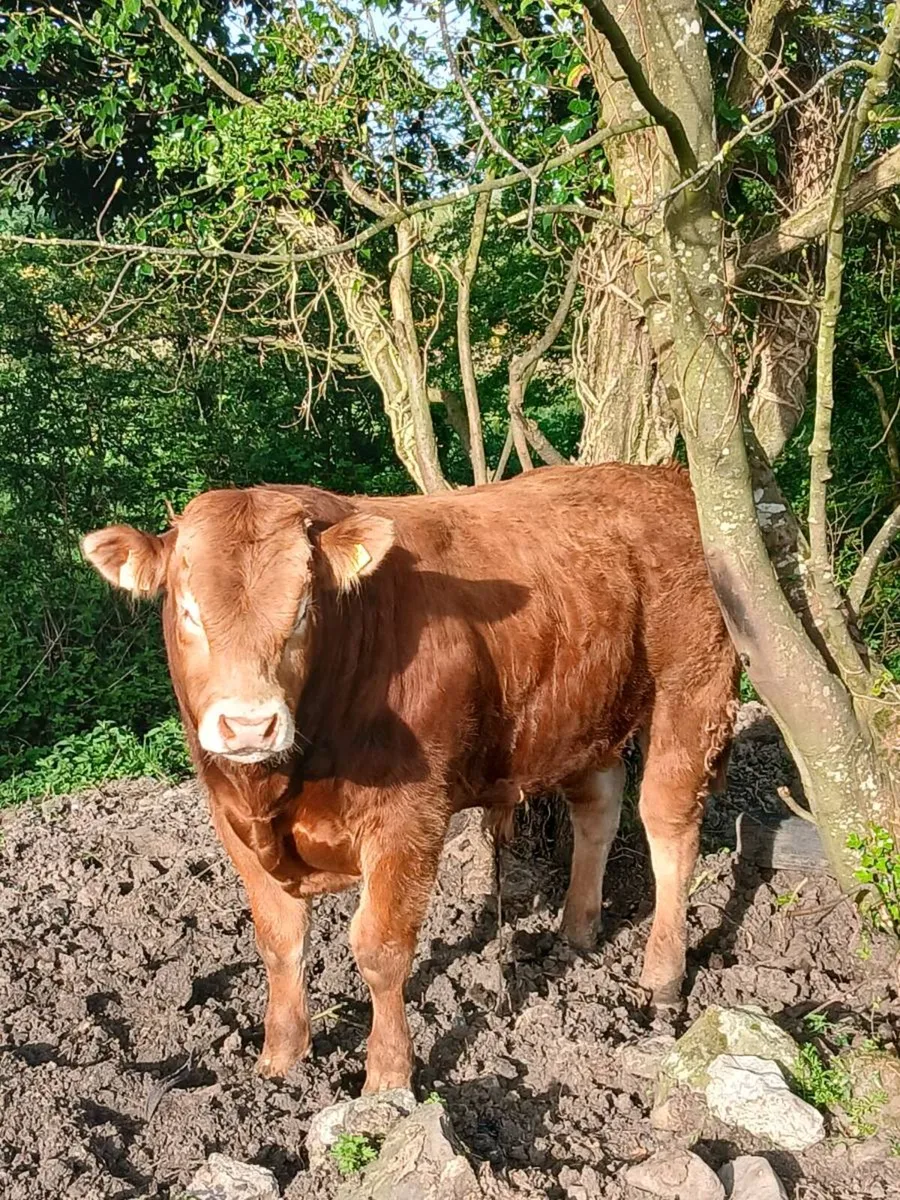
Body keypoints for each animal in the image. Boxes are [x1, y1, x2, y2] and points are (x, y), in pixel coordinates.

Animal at [82, 463, 739, 1094]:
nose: (249, 725)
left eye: (303, 610)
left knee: (669, 828)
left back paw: (661, 976)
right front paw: (280, 1060)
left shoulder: (407, 818)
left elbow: (381, 948)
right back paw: (577, 931)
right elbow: (278, 941)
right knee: (598, 806)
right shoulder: (232, 818)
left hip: (693, 688)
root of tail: (663, 479)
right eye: (188, 610)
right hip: (584, 711)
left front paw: (387, 1079)